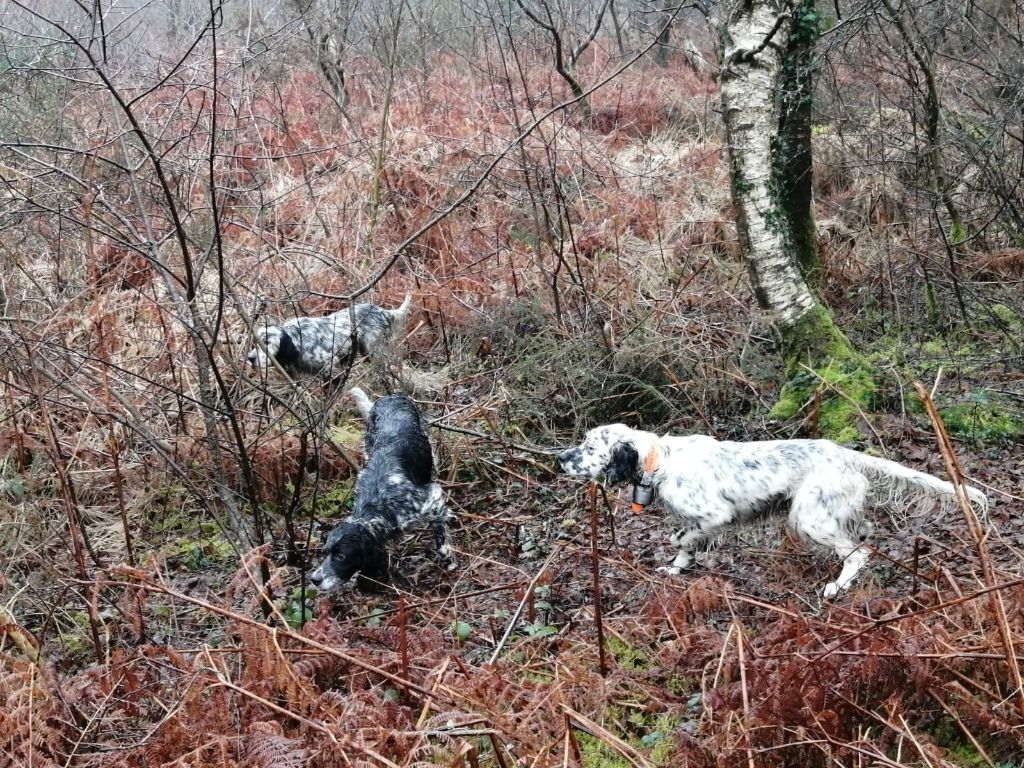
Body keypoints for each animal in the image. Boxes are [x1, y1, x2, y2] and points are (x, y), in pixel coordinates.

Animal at [245, 294, 409, 376]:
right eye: (254, 343)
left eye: (267, 343)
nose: (250, 358)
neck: (298, 339)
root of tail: (384, 311)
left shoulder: (330, 364)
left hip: (374, 350)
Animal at [305, 387, 454, 593]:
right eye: (325, 552)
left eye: (341, 556)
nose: (314, 579)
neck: (377, 502)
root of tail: (389, 397)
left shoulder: (430, 498)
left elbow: (440, 533)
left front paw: (447, 558)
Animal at [557, 423, 987, 598]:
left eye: (590, 446)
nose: (560, 457)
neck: (658, 460)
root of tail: (846, 454)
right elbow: (684, 544)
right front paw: (676, 570)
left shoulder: (714, 516)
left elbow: (682, 535)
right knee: (863, 531)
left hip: (807, 517)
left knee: (858, 554)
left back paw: (837, 587)